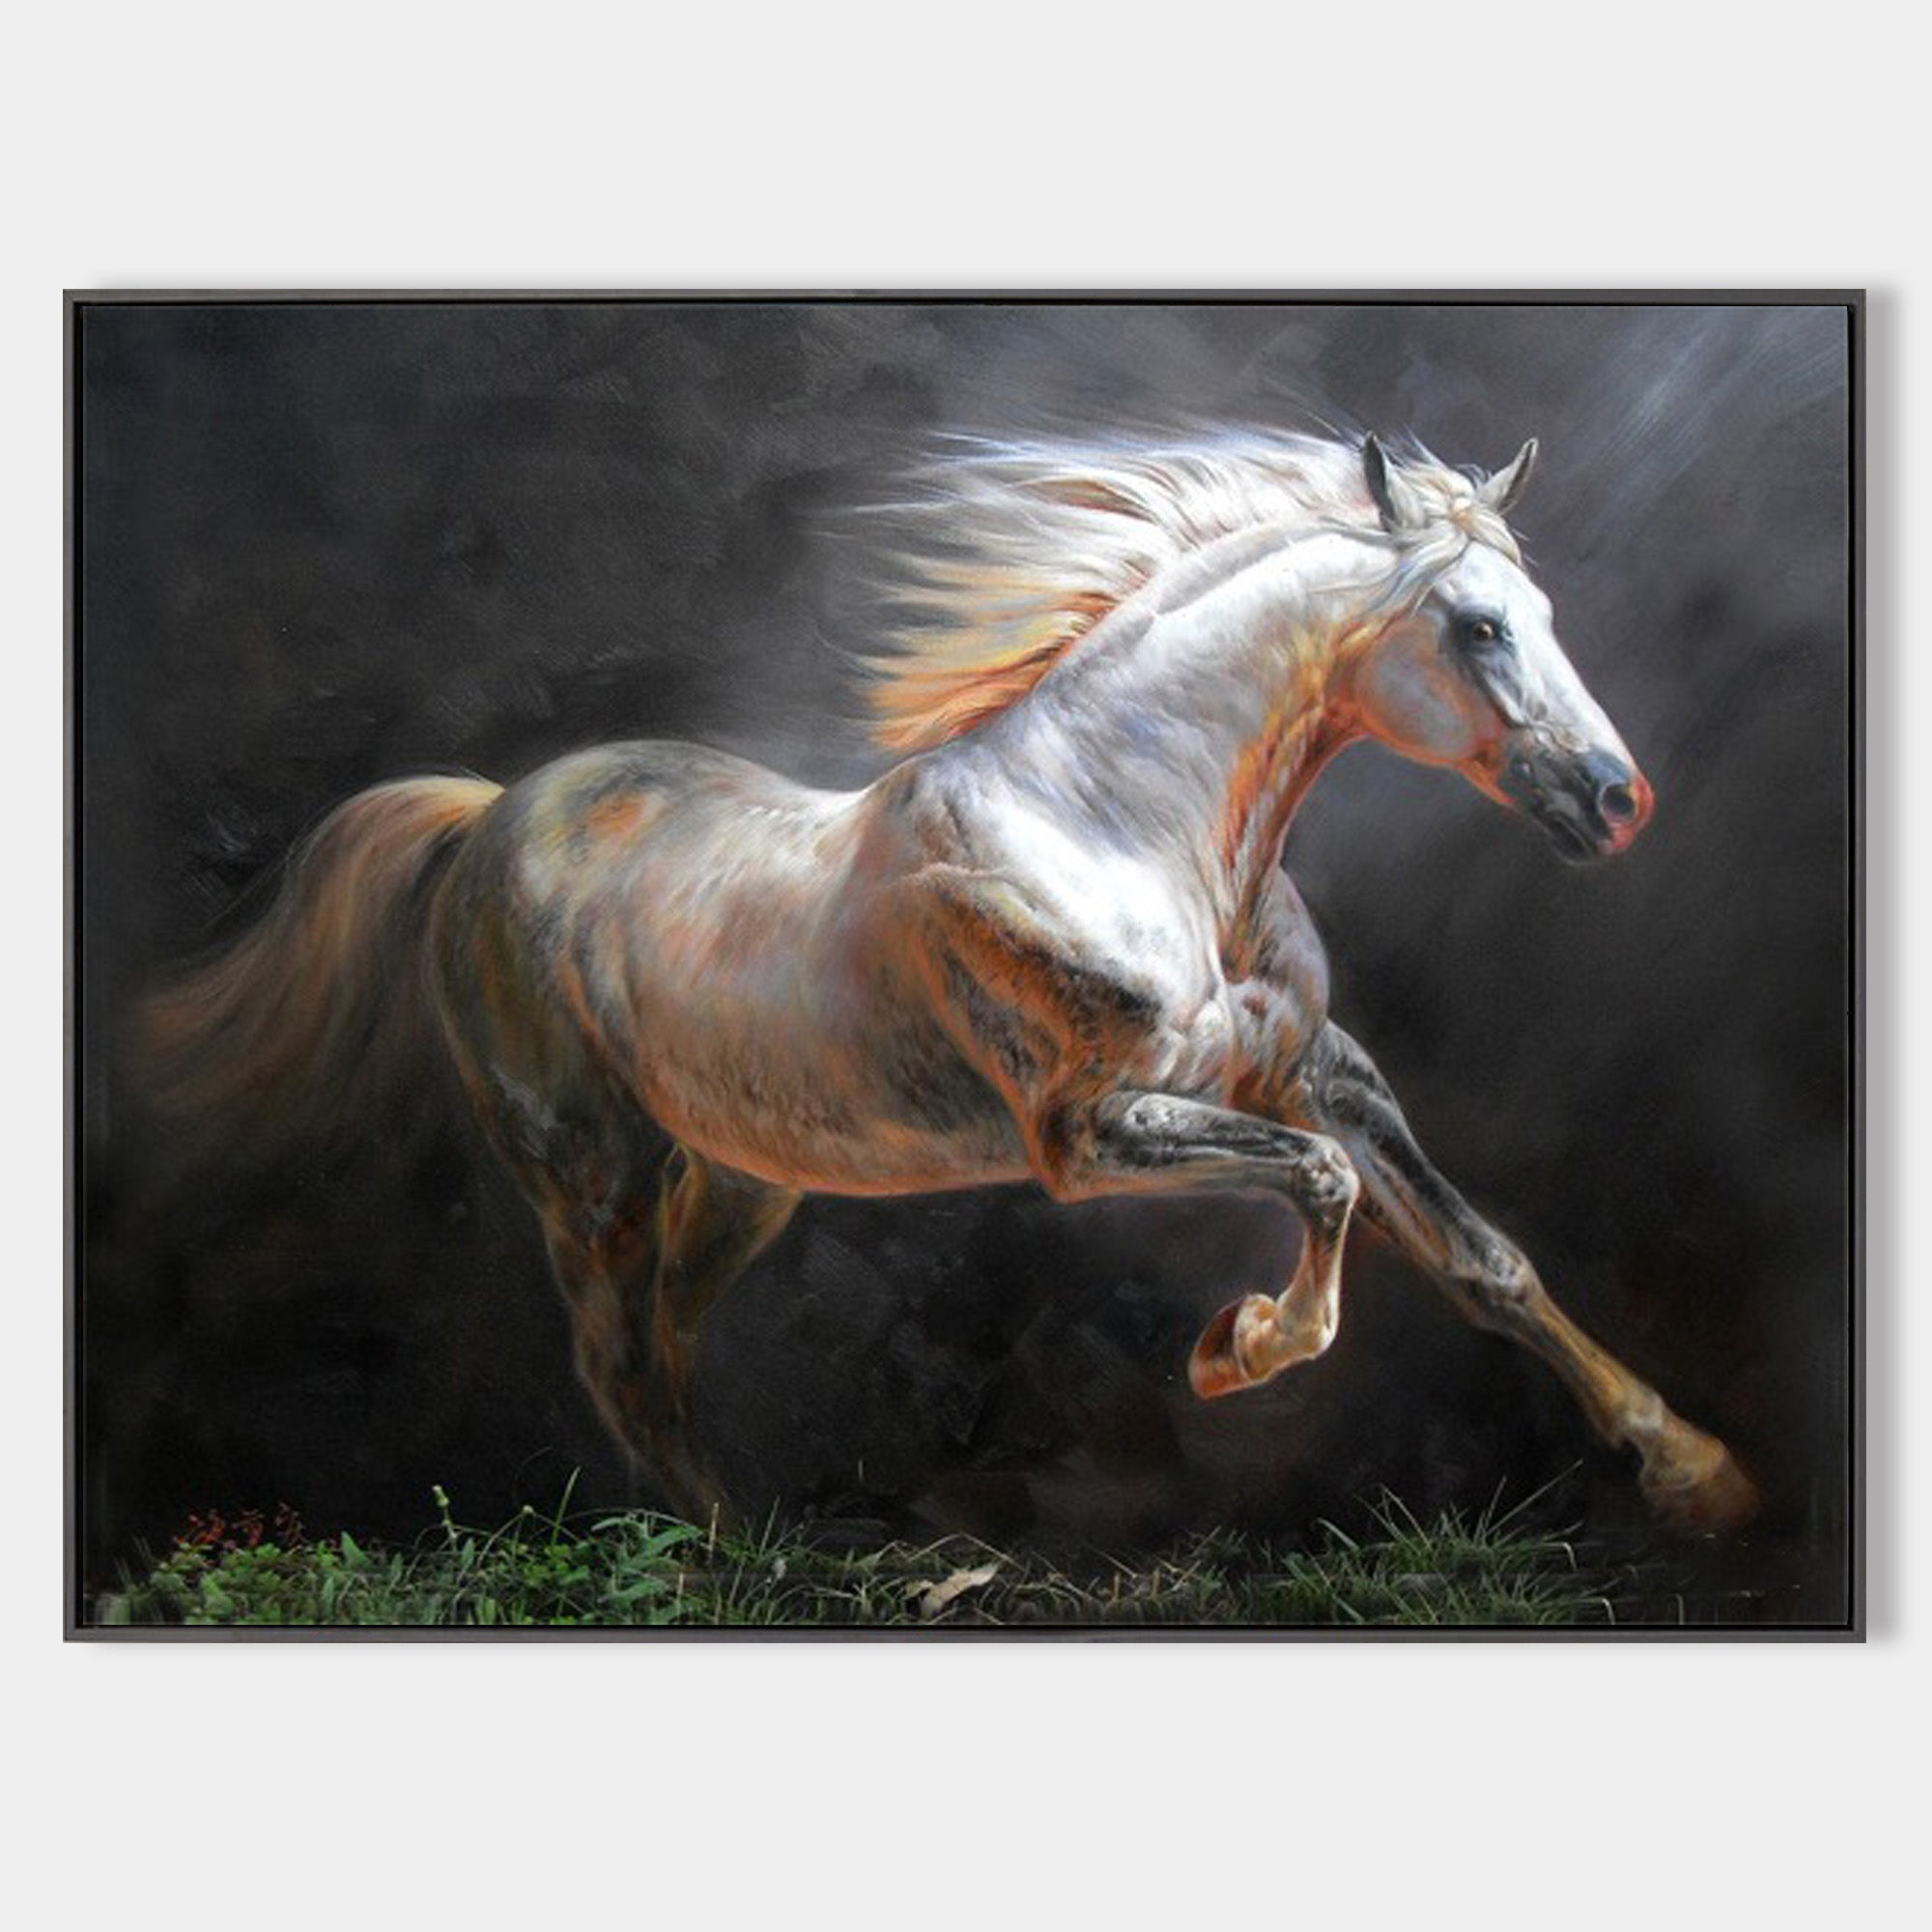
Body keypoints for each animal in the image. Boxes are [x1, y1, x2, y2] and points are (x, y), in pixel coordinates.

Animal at [144, 429, 1759, 1536]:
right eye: (1477, 628)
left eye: (1543, 612)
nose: (1617, 801)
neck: (1125, 827)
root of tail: (494, 811)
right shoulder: (1091, 1135)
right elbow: (1324, 1186)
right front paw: (1237, 1352)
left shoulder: (1315, 1068)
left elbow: (1482, 1255)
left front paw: (1698, 1471)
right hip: (588, 1171)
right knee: (616, 1362)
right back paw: (733, 1556)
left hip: (746, 1177)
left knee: (666, 1344)